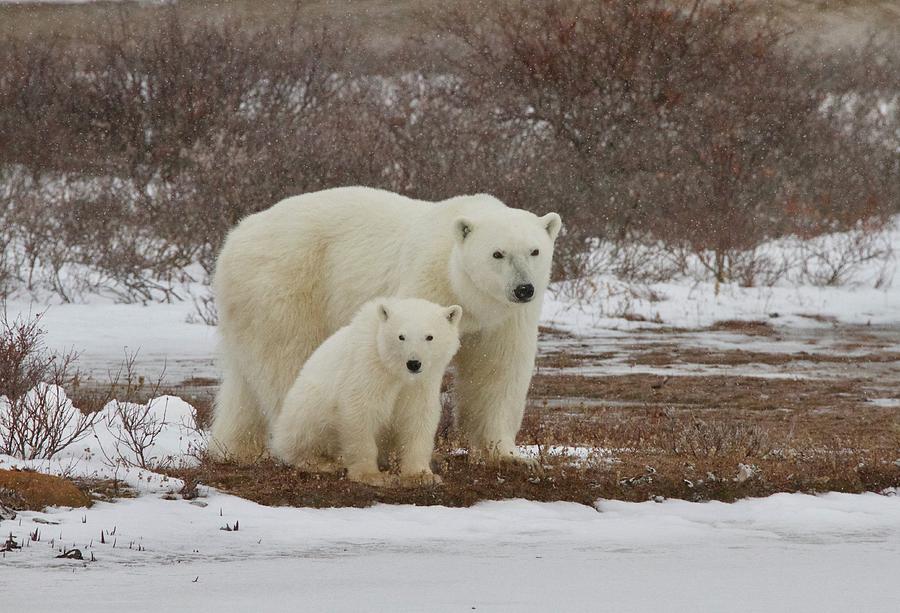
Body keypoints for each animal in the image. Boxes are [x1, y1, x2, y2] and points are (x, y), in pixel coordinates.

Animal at [213, 186, 564, 464]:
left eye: (534, 250)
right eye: (497, 253)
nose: (524, 289)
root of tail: (234, 237)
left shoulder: (506, 318)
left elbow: (497, 370)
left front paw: (507, 453)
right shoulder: (425, 283)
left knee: (244, 384)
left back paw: (234, 448)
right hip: (284, 286)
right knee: (288, 360)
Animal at [268, 298, 460, 488]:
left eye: (429, 336)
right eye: (401, 336)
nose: (413, 363)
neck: (394, 370)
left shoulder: (422, 382)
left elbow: (418, 417)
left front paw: (421, 476)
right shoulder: (367, 367)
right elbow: (360, 411)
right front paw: (372, 475)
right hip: (306, 411)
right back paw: (327, 462)